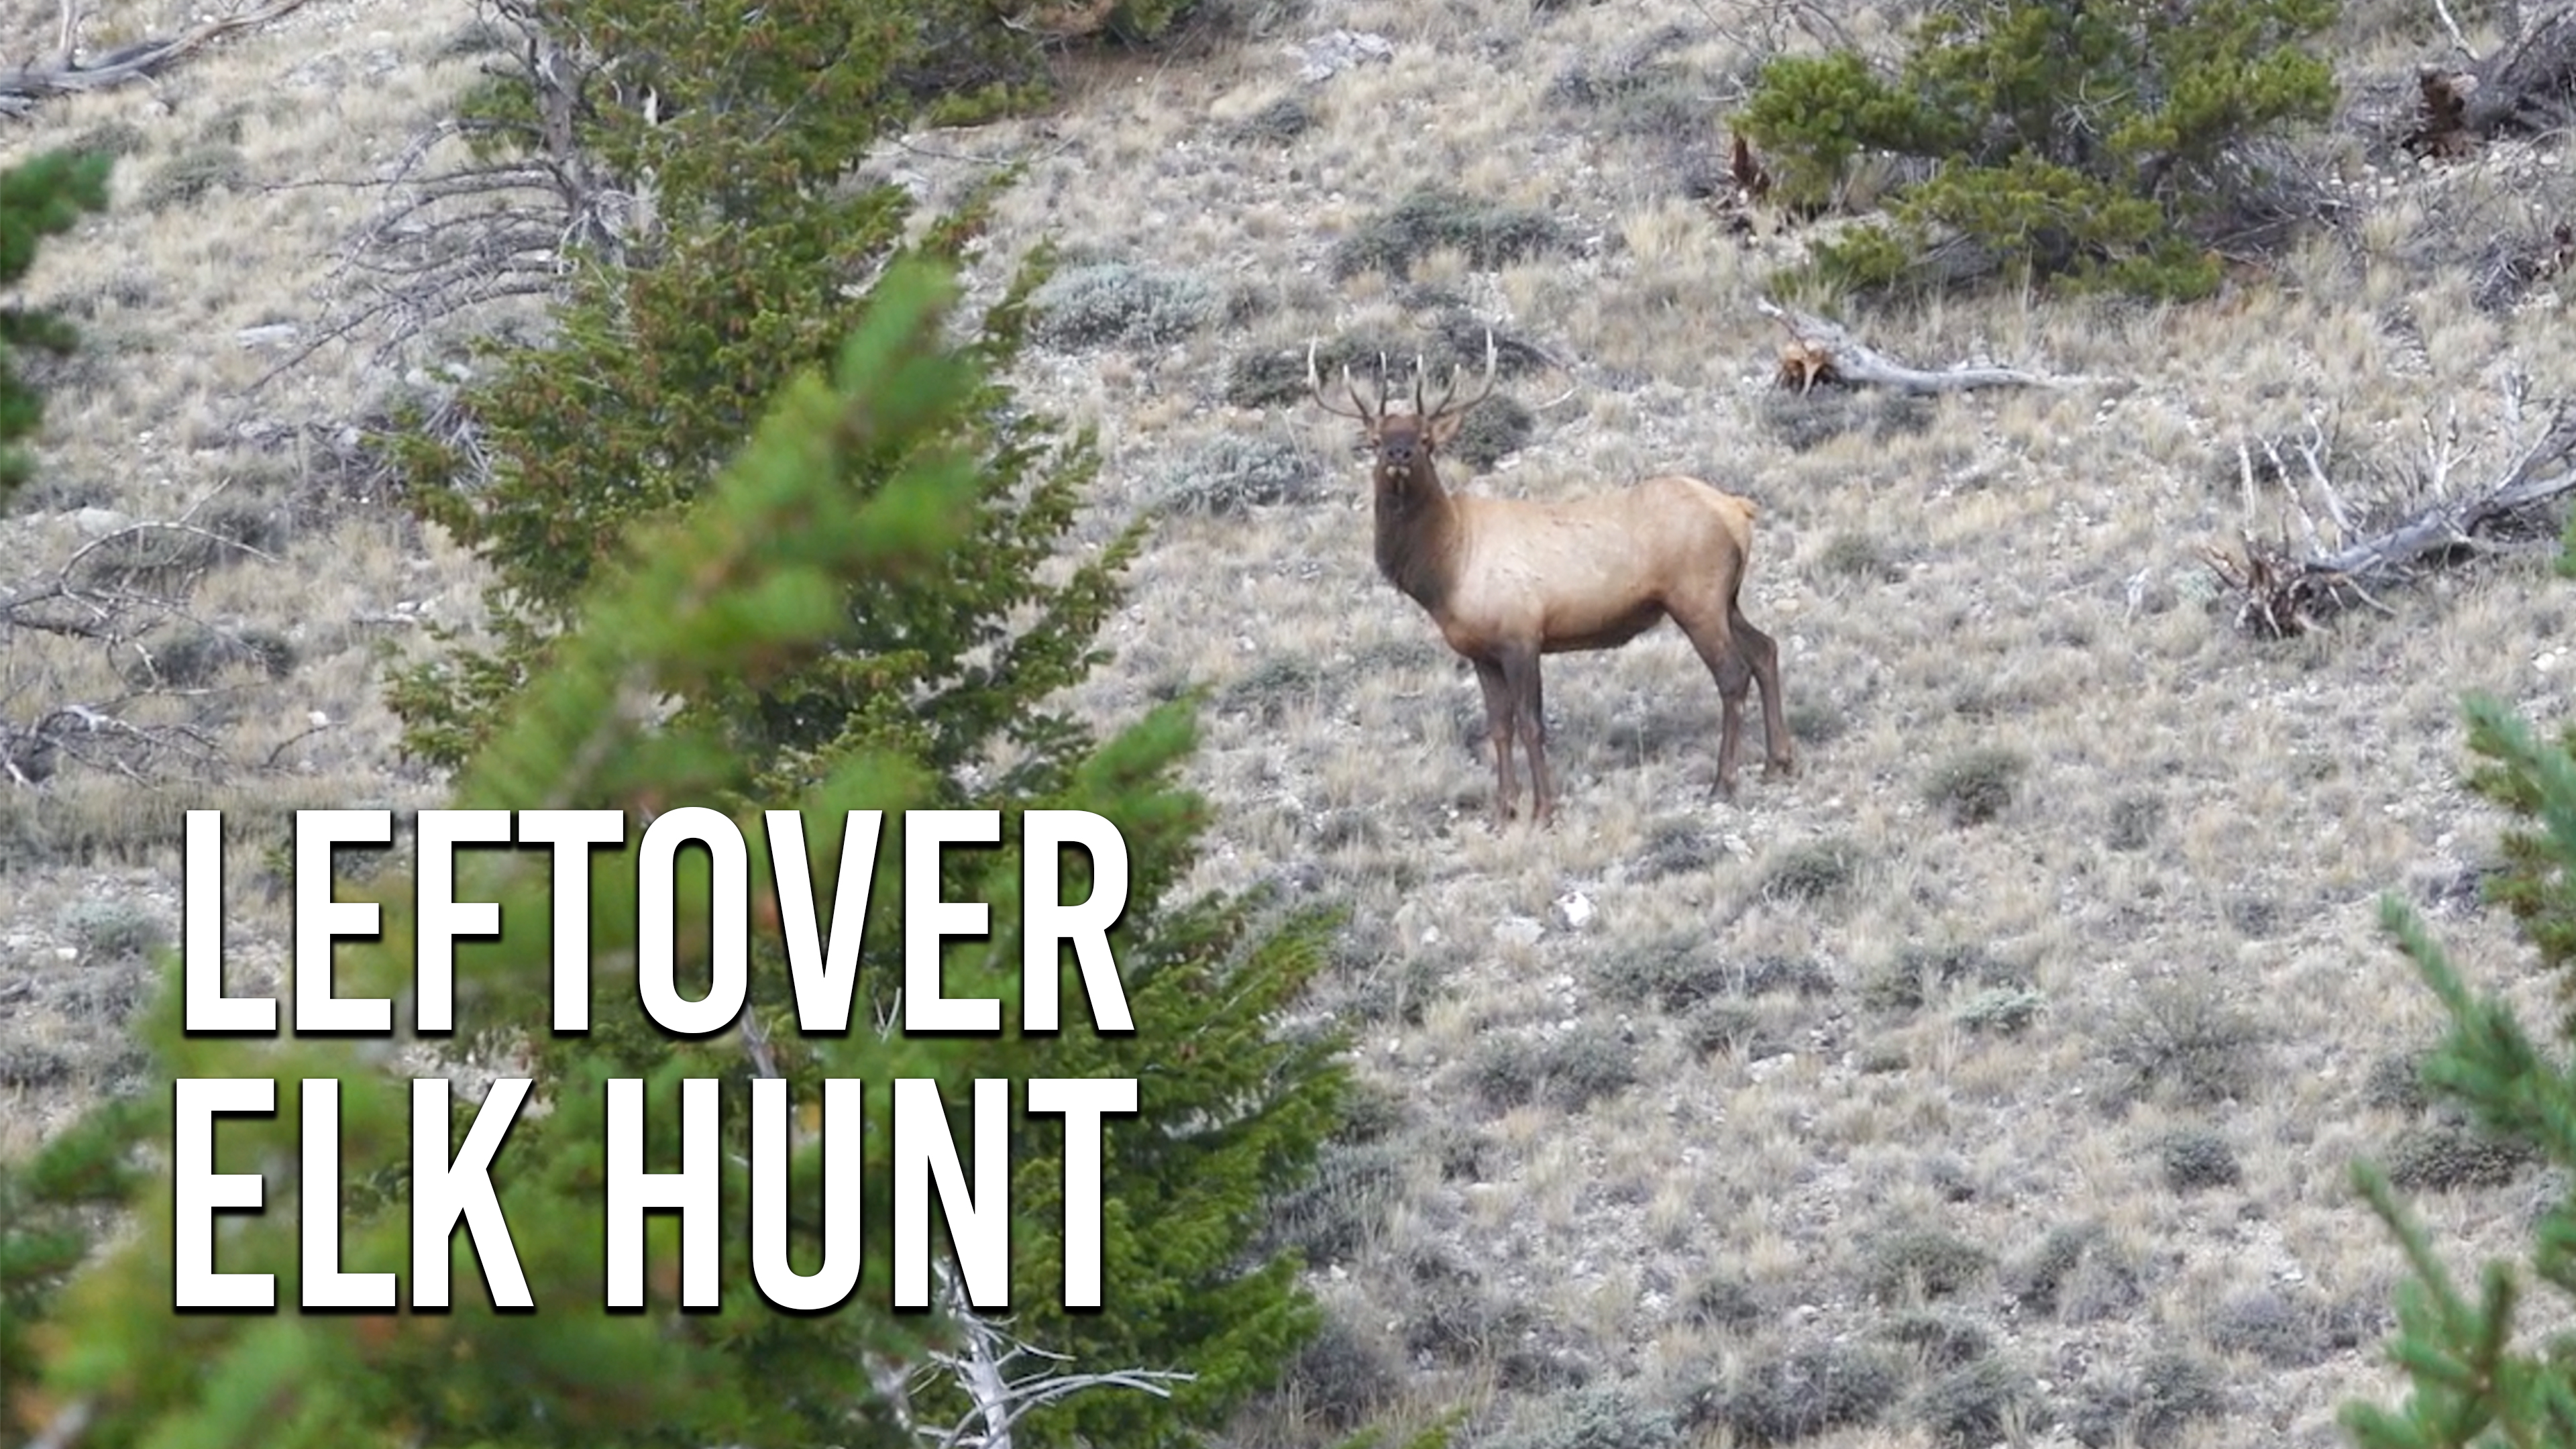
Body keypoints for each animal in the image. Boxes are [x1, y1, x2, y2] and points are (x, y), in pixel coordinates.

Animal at [1308, 332, 1793, 830]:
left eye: (1426, 439)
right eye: (1375, 439)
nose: (1399, 454)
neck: (1445, 570)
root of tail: (1738, 510)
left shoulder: (1522, 634)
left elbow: (1530, 723)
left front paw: (1543, 809)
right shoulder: (1480, 651)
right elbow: (1499, 727)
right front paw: (1504, 810)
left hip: (1696, 597)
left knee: (1733, 674)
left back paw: (1724, 782)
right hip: (1726, 598)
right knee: (1765, 648)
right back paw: (1777, 763)